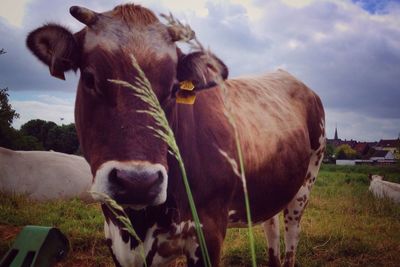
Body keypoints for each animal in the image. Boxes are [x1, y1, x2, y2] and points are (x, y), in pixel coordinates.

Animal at [25, 2, 324, 267]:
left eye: (173, 88)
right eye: (89, 78)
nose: (137, 183)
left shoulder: (208, 234)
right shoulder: (116, 239)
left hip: (304, 187)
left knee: (291, 236)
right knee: (271, 226)